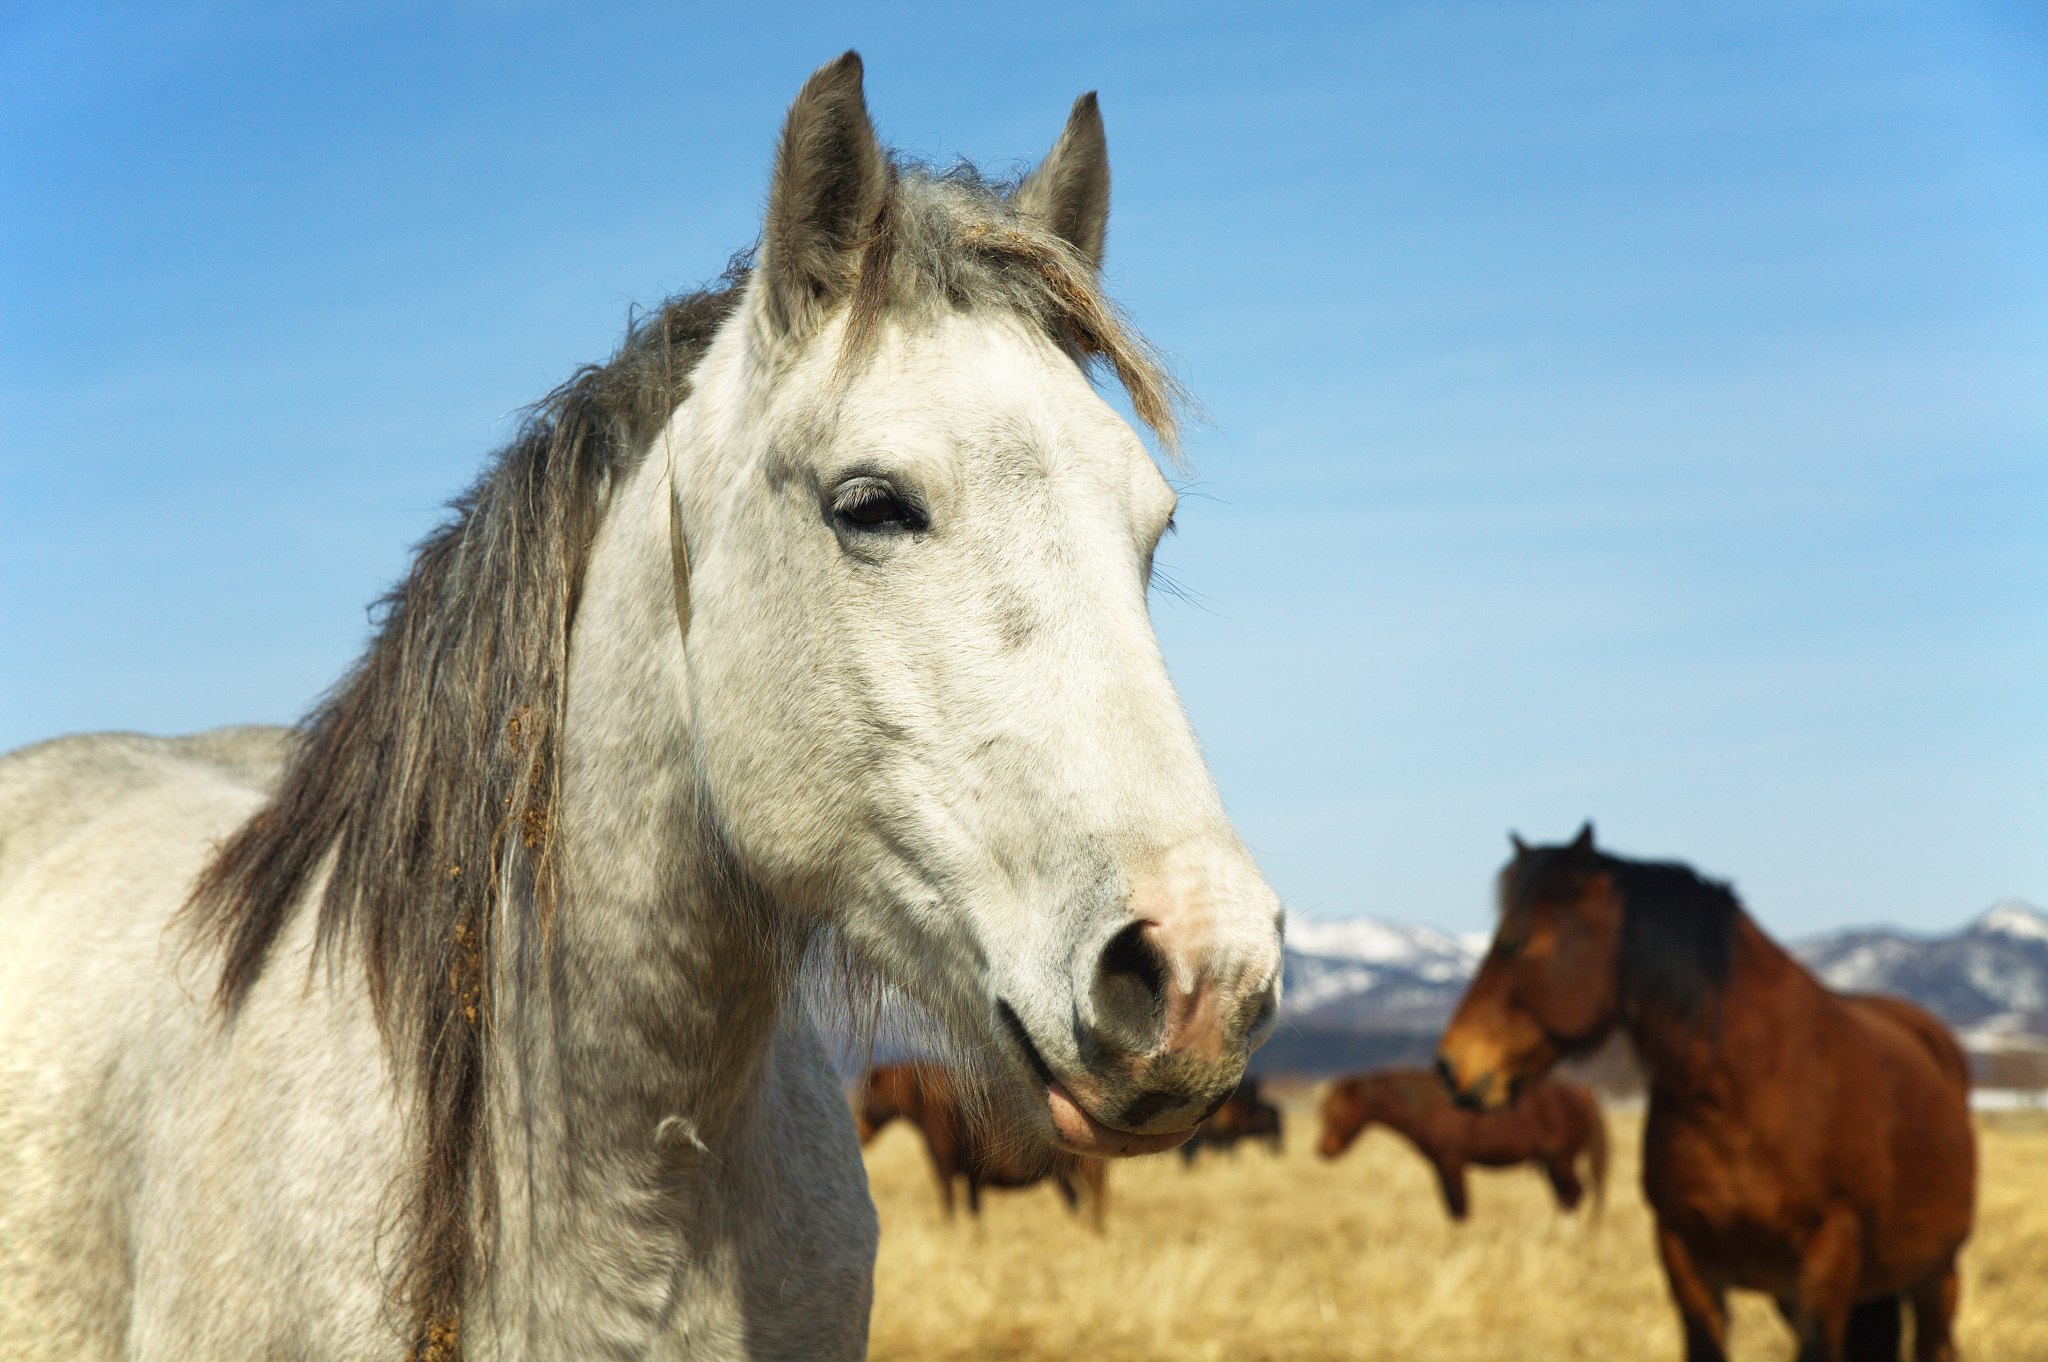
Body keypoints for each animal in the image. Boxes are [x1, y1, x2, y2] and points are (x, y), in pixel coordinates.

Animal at [855, 1063, 1107, 1228]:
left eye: (865, 1097)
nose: (860, 1135)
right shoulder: (972, 1178)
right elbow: (975, 1215)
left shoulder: (944, 1169)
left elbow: (949, 1209)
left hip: (1073, 1171)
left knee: (1091, 1201)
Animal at [1315, 1067, 1606, 1220]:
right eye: (1324, 1113)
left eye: (1340, 1114)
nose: (1324, 1150)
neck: (1429, 1107)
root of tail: (1583, 1094)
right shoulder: (1440, 1166)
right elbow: (1452, 1208)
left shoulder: (1452, 1162)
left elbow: (1460, 1208)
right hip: (1551, 1163)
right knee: (1565, 1198)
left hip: (1562, 1159)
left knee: (1574, 1195)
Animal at [1437, 826, 1974, 1362]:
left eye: (1517, 941)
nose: (1450, 1064)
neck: (1743, 1091)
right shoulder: (1685, 1256)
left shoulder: (1829, 1256)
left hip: (1935, 1275)